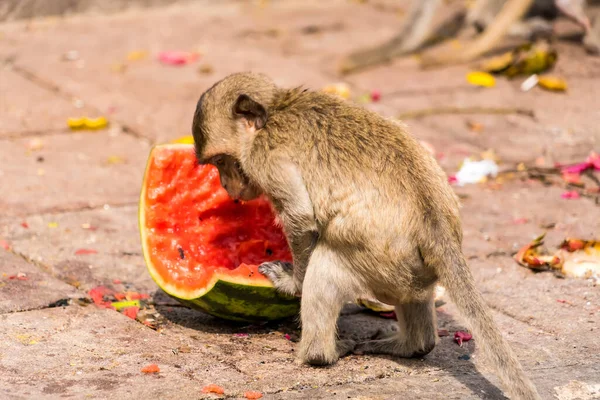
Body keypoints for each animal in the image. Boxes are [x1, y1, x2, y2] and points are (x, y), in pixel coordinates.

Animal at [195, 72, 540, 400]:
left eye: (222, 161)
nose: (225, 184)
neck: (277, 109)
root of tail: (436, 225)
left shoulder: (266, 160)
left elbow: (301, 219)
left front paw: (292, 283)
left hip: (378, 264)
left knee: (324, 265)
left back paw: (320, 354)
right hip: (410, 271)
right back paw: (413, 346)